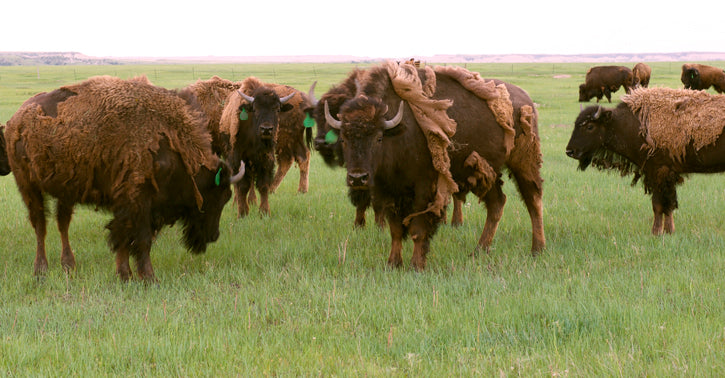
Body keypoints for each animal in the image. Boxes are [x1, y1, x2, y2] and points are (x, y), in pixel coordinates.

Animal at [5, 77, 243, 282]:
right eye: (218, 196)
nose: (214, 236)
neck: (173, 145)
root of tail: (15, 120)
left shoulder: (129, 206)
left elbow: (125, 240)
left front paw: (125, 275)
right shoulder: (138, 203)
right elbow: (140, 240)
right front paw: (149, 278)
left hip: (65, 191)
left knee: (62, 224)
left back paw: (68, 266)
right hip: (28, 187)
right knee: (40, 225)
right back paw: (41, 270)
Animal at [322, 61, 544, 268]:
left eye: (378, 138)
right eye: (343, 138)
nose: (358, 178)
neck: (397, 130)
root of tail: (527, 101)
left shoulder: (425, 187)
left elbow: (418, 228)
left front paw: (416, 265)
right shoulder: (390, 190)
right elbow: (395, 229)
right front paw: (393, 264)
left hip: (523, 164)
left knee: (533, 200)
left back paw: (537, 249)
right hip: (486, 172)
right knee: (497, 203)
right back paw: (478, 251)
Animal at [564, 87, 724, 235]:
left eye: (590, 126)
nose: (569, 151)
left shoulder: (659, 172)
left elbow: (659, 205)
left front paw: (656, 232)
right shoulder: (665, 174)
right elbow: (667, 205)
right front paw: (668, 231)